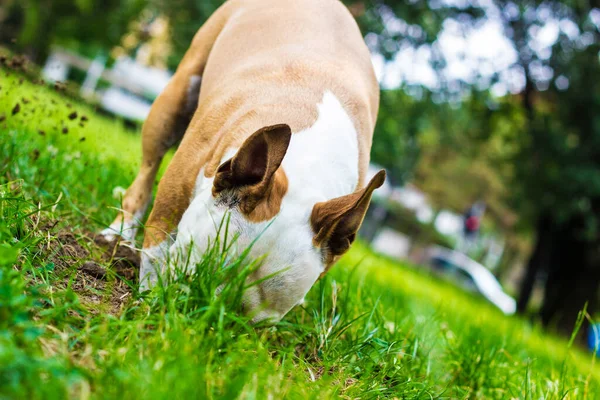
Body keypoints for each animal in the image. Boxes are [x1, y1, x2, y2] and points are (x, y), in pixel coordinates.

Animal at [99, 0, 384, 322]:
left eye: (250, 326)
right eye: (192, 274)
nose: (203, 314)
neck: (307, 166)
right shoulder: (169, 209)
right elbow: (156, 253)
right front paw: (149, 301)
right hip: (173, 102)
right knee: (146, 173)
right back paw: (118, 231)